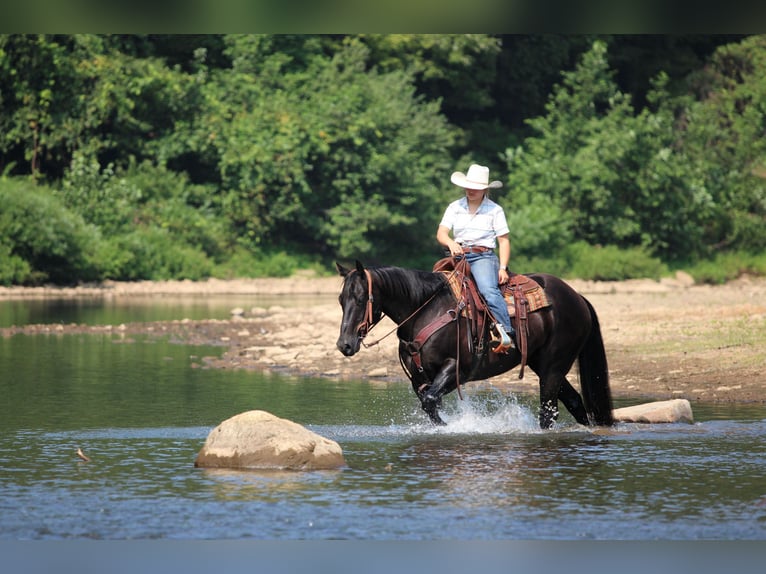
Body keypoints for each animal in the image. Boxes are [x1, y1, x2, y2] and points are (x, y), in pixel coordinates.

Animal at [335, 260, 613, 430]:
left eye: (361, 298)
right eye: (340, 299)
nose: (344, 344)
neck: (426, 310)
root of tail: (577, 297)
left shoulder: (456, 367)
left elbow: (430, 402)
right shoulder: (419, 377)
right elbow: (429, 404)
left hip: (554, 366)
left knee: (549, 411)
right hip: (543, 364)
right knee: (574, 401)